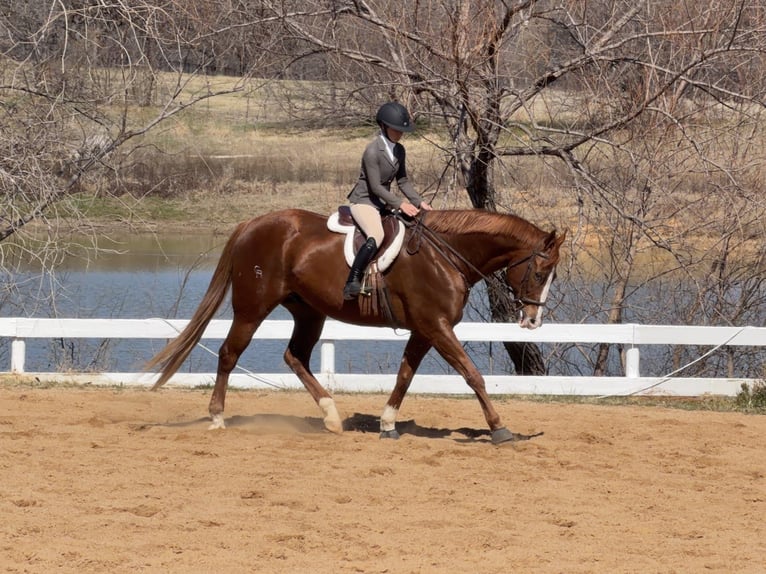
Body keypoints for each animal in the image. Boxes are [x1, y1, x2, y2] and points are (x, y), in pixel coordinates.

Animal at [146, 208, 566, 444]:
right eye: (539, 272)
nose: (533, 321)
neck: (445, 254)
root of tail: (253, 223)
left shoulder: (425, 329)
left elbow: (405, 375)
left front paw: (387, 424)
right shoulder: (436, 325)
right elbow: (472, 375)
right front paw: (499, 428)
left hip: (309, 312)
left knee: (294, 356)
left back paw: (331, 417)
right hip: (252, 308)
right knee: (229, 354)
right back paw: (217, 417)